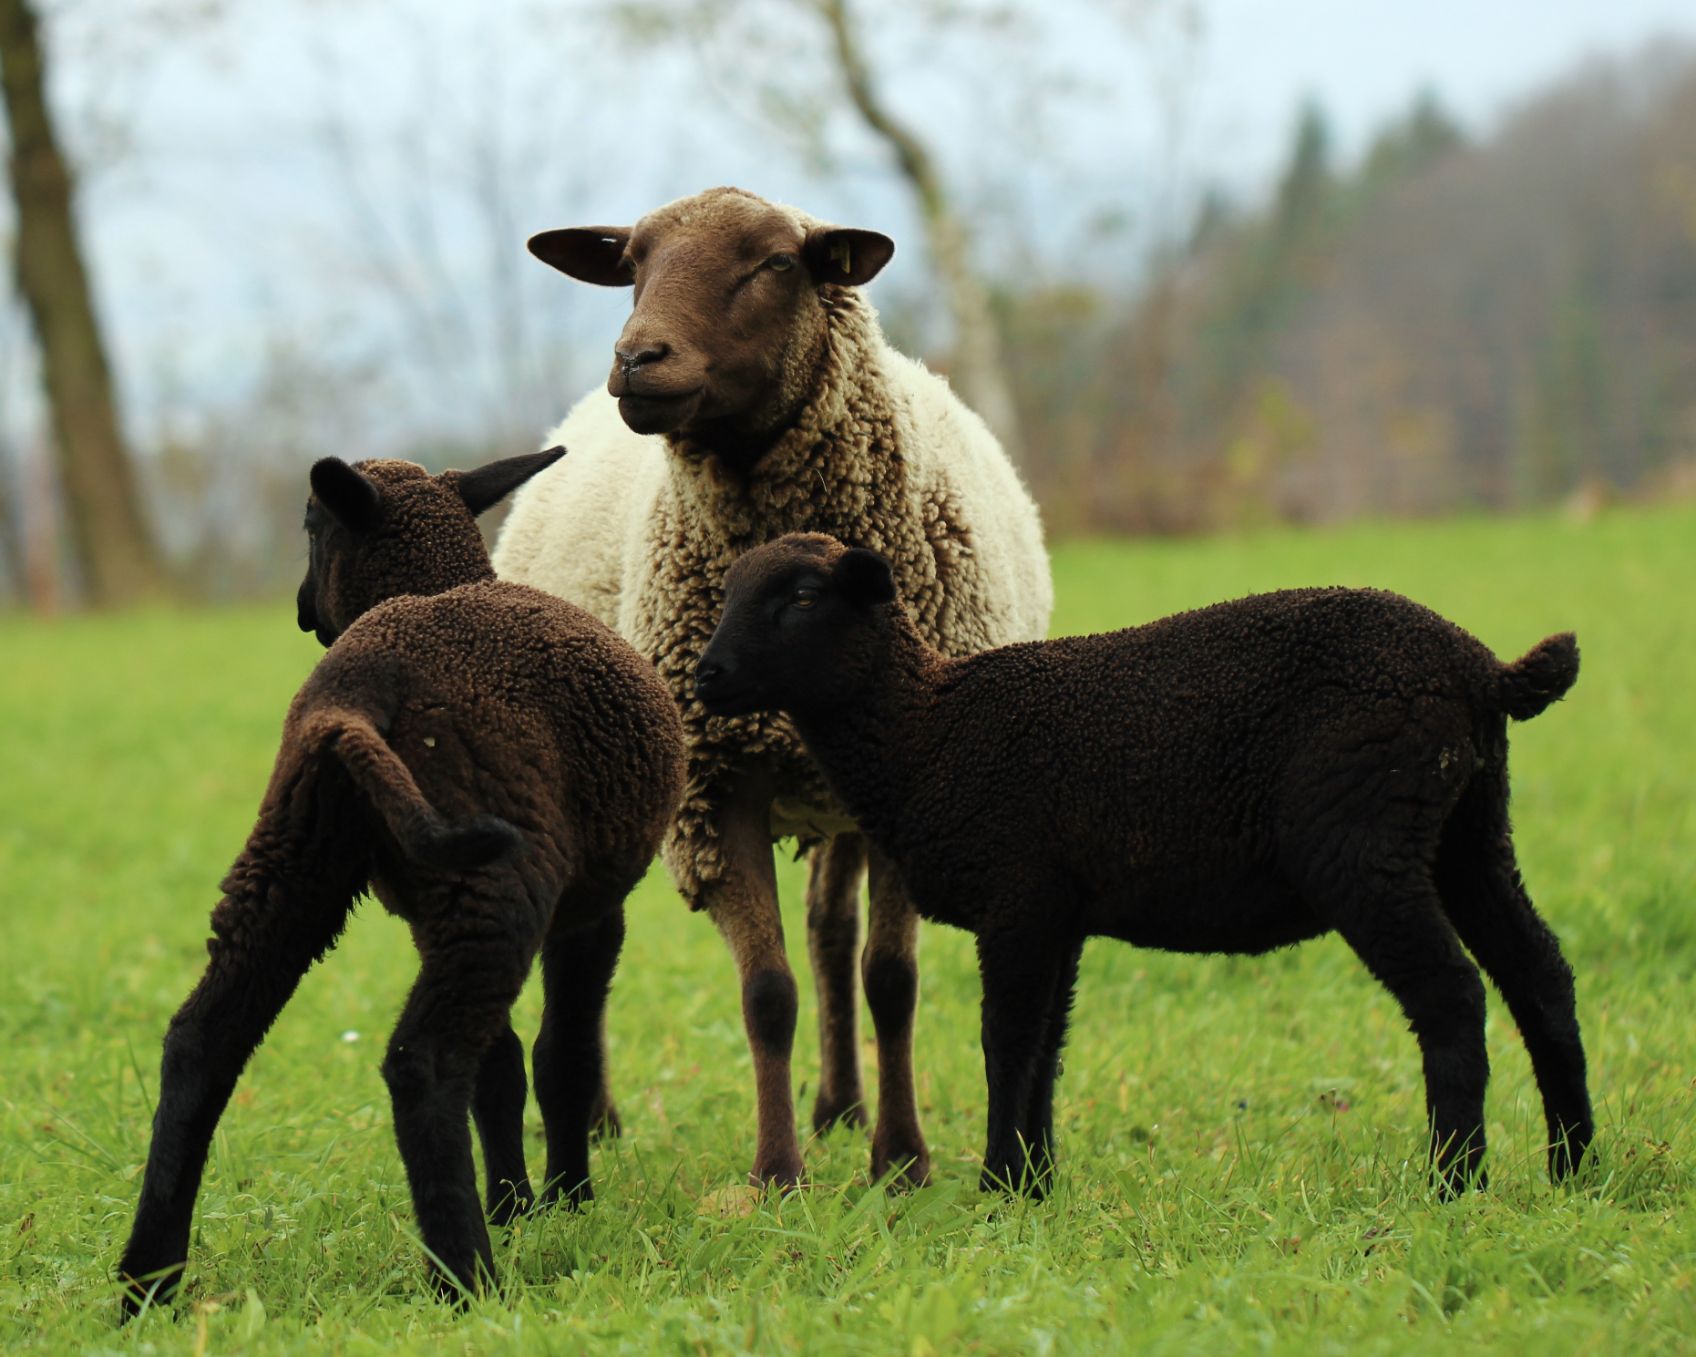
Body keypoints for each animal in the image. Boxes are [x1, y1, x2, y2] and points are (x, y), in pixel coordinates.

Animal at [117, 450, 685, 1312]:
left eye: (310, 527)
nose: (299, 610)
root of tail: (356, 698)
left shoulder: (429, 911)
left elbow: (503, 1064)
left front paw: (517, 1205)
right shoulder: (593, 910)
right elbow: (561, 1056)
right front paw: (564, 1201)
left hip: (296, 859)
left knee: (200, 1039)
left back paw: (145, 1283)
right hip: (495, 874)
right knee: (425, 1060)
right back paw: (466, 1278)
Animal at [492, 186, 1052, 1188]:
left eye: (775, 264)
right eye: (630, 264)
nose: (636, 358)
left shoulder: (916, 780)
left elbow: (889, 978)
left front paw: (900, 1159)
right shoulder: (714, 787)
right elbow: (767, 991)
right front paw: (777, 1173)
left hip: (843, 795)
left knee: (833, 933)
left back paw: (841, 1108)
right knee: (589, 931)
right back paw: (601, 1118)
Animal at [695, 532, 1595, 1198]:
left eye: (803, 597)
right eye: (728, 593)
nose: (706, 675)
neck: (926, 732)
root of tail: (1482, 670)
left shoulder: (1019, 893)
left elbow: (1005, 1037)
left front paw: (996, 1185)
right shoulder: (1059, 908)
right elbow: (1046, 1045)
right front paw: (1034, 1185)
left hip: (1364, 840)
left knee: (1452, 993)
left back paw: (1456, 1182)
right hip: (1467, 832)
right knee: (1540, 972)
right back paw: (1574, 1168)